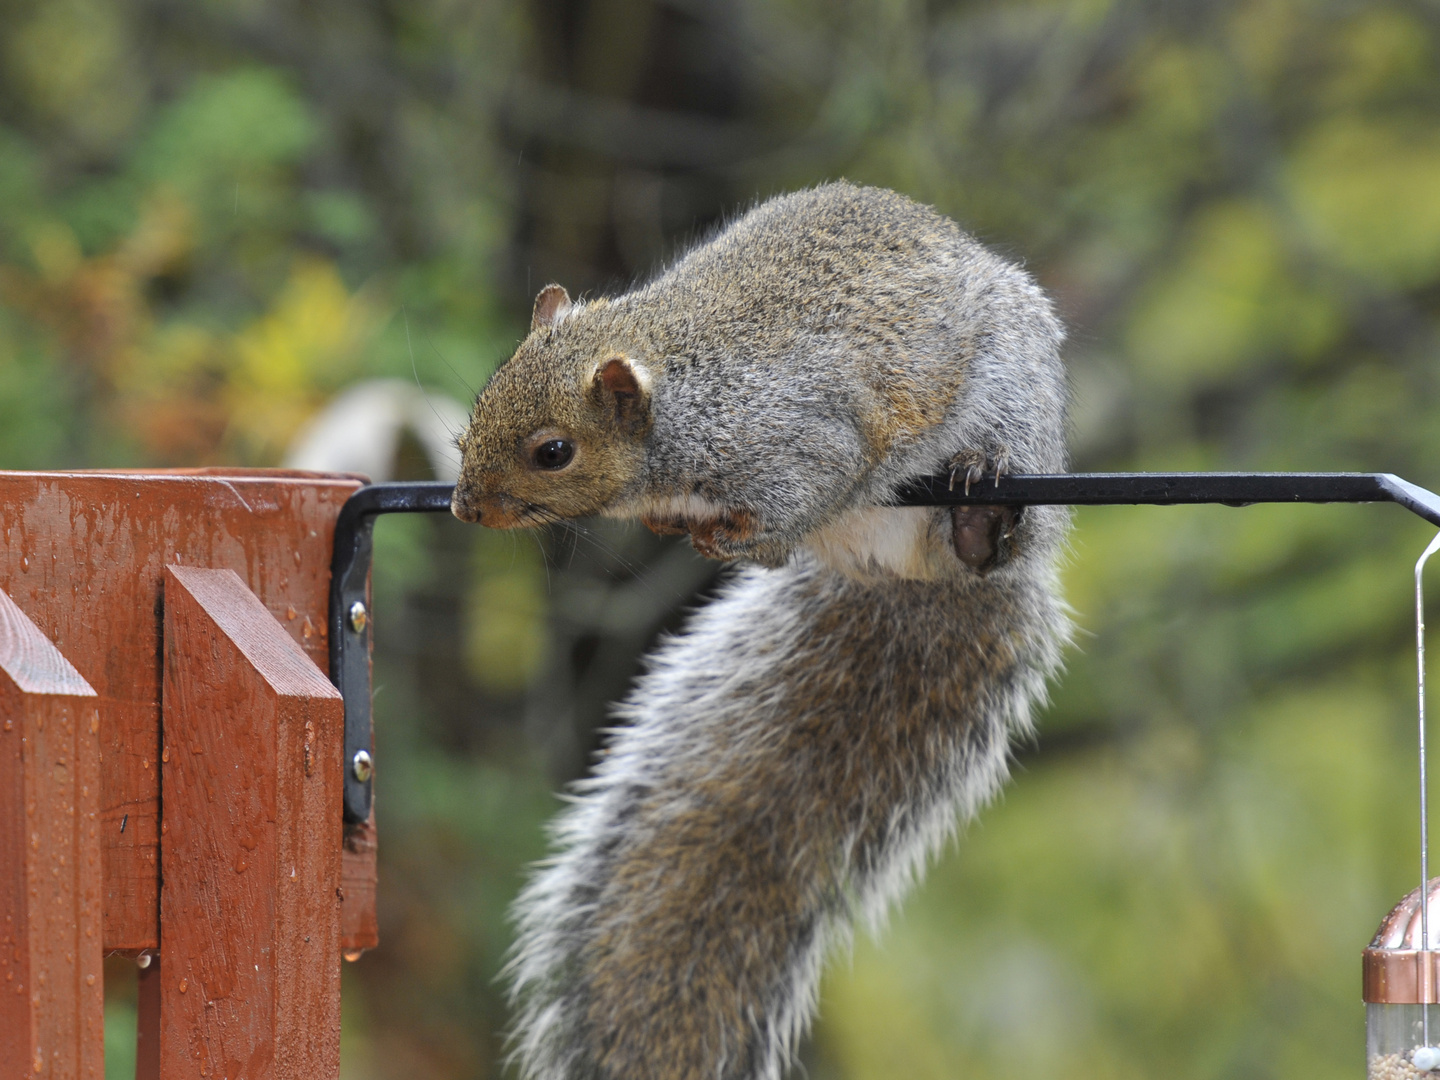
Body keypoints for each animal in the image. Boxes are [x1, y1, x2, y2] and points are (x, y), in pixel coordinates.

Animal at [449, 182, 1071, 1077]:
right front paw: (683, 527)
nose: (465, 505)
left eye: (553, 451)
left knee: (996, 511)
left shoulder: (799, 440)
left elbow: (804, 492)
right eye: (484, 397)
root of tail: (911, 576)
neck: (682, 390)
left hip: (1014, 413)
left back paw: (981, 512)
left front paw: (741, 541)